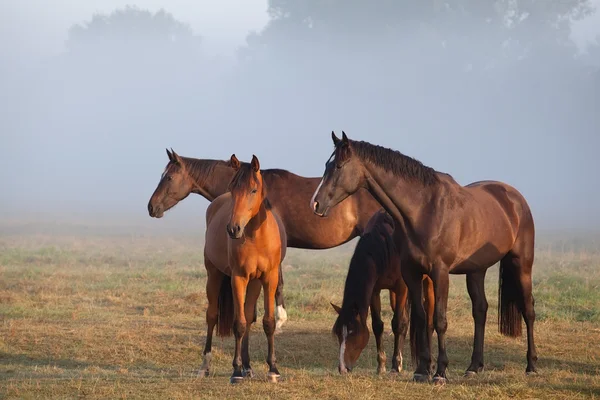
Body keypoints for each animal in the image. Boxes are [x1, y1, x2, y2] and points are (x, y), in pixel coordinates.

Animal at [197, 154, 286, 384]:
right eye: (233, 188)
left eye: (253, 190)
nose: (233, 229)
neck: (256, 237)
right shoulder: (238, 278)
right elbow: (238, 324)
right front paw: (235, 371)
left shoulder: (269, 278)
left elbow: (267, 322)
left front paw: (273, 369)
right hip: (214, 275)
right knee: (212, 316)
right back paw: (206, 366)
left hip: (254, 283)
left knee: (248, 315)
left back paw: (248, 367)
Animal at [330, 209, 434, 376]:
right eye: (339, 333)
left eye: (353, 332)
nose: (342, 368)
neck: (386, 246)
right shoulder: (375, 290)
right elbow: (377, 325)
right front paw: (382, 365)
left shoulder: (401, 288)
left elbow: (398, 323)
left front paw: (395, 365)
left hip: (427, 282)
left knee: (428, 322)